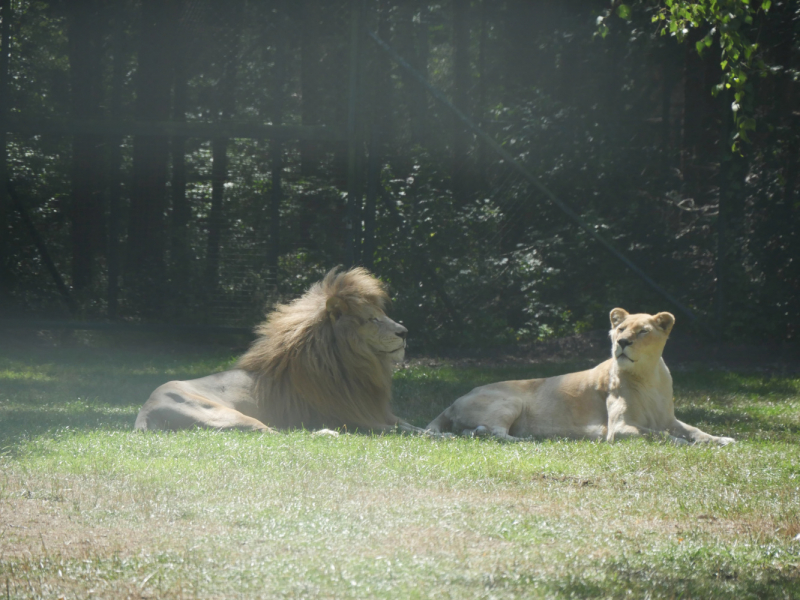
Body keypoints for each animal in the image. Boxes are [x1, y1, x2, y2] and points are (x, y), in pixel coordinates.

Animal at [134, 270, 422, 434]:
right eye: (373, 319)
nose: (405, 332)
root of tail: (145, 411)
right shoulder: (354, 419)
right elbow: (402, 431)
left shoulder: (378, 413)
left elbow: (410, 424)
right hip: (226, 415)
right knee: (275, 433)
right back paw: (324, 433)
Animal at [428, 310, 736, 446]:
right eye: (621, 328)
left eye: (643, 331)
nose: (622, 342)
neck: (647, 377)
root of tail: (453, 402)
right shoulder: (618, 429)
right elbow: (659, 435)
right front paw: (685, 444)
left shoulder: (668, 419)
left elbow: (695, 430)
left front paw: (722, 439)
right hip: (511, 401)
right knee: (495, 433)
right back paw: (528, 440)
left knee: (476, 432)